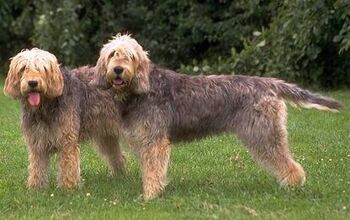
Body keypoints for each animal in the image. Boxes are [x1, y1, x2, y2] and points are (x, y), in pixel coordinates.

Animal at [3, 49, 125, 189]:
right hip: (106, 135)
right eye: (23, 68)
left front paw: (68, 188)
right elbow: (37, 167)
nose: (33, 83)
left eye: (42, 68)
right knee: (118, 156)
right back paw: (118, 176)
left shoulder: (67, 141)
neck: (44, 107)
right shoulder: (37, 143)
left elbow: (68, 167)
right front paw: (36, 187)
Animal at [91, 34, 344, 199]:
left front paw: (150, 195)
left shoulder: (155, 142)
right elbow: (149, 168)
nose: (118, 70)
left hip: (264, 134)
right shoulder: (145, 141)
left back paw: (293, 185)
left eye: (130, 56)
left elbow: (153, 169)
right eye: (113, 54)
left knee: (290, 164)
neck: (139, 90)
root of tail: (270, 83)